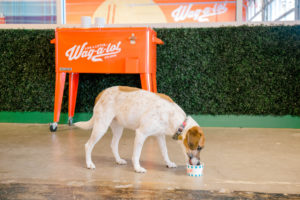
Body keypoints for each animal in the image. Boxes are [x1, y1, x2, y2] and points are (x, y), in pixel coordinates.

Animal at [76, 86, 205, 173]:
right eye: (199, 147)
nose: (199, 163)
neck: (173, 116)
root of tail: (102, 93)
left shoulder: (160, 136)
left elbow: (165, 151)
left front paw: (168, 163)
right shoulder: (141, 133)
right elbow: (136, 154)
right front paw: (137, 168)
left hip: (118, 128)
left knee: (113, 144)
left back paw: (118, 160)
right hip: (101, 127)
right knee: (88, 145)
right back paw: (89, 164)